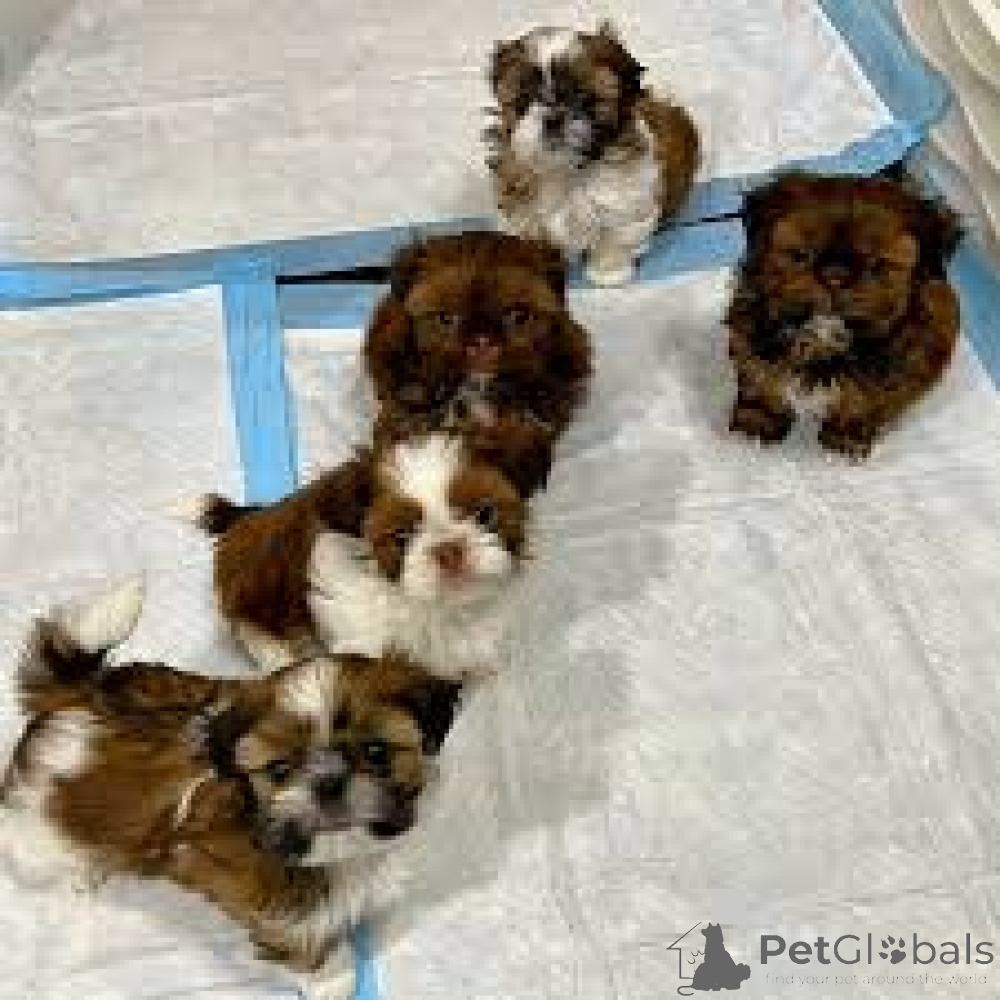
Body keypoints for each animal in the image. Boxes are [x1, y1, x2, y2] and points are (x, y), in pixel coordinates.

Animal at [1, 578, 460, 989]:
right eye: (279, 770)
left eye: (377, 752)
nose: (328, 782)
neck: (339, 850)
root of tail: (75, 701)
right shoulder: (272, 911)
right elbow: (299, 946)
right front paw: (330, 978)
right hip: (36, 829)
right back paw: (82, 872)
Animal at [199, 432, 529, 680]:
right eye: (401, 536)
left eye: (484, 514)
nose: (449, 549)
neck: (426, 607)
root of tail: (249, 515)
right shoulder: (357, 634)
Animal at [486, 23, 699, 286]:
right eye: (524, 100)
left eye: (584, 98)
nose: (553, 118)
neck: (565, 172)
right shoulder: (518, 200)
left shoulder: (626, 199)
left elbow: (615, 235)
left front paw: (608, 272)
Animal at [727, 172, 962, 459]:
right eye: (800, 254)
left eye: (879, 264)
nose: (835, 276)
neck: (823, 340)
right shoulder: (748, 330)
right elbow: (759, 375)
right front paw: (757, 421)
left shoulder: (903, 360)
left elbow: (864, 398)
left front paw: (844, 437)